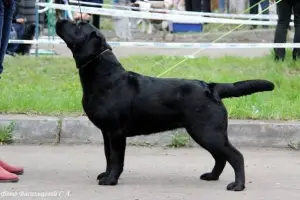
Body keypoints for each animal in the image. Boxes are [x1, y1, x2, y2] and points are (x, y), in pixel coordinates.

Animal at [54, 19, 274, 191]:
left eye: (78, 25)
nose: (59, 19)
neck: (105, 77)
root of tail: (211, 87)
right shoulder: (106, 132)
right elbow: (108, 156)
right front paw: (105, 175)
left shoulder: (116, 132)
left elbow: (116, 159)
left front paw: (111, 180)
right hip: (204, 133)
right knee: (220, 157)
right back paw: (212, 177)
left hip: (208, 132)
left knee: (236, 156)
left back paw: (238, 185)